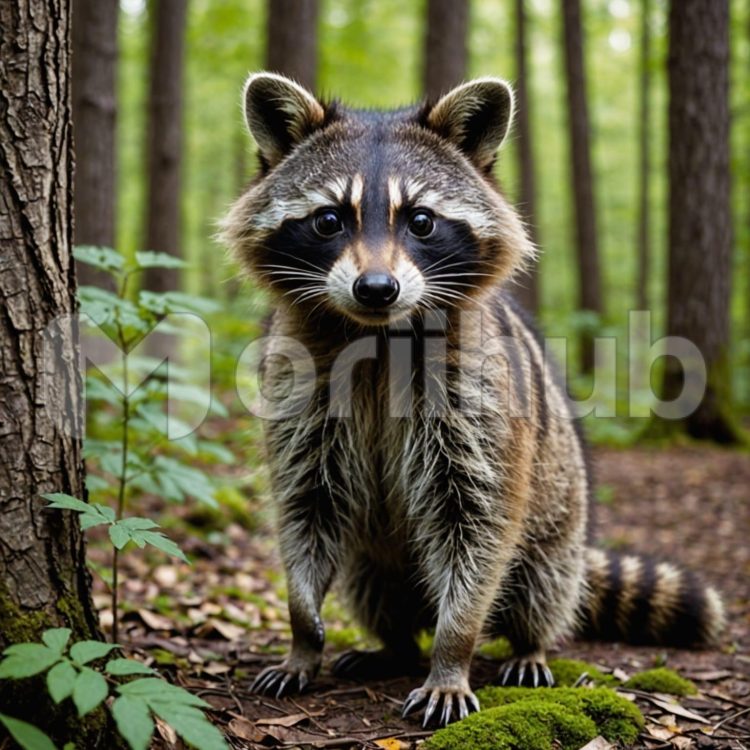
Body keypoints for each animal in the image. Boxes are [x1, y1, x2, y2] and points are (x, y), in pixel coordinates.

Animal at [221, 72, 725, 727]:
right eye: (329, 219)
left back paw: (525, 644)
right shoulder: (301, 395)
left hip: (561, 523)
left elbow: (479, 527)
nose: (377, 289)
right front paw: (304, 634)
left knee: (540, 584)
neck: (377, 334)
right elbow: (304, 509)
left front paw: (452, 653)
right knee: (370, 579)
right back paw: (395, 645)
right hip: (377, 557)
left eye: (421, 220)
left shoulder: (477, 402)